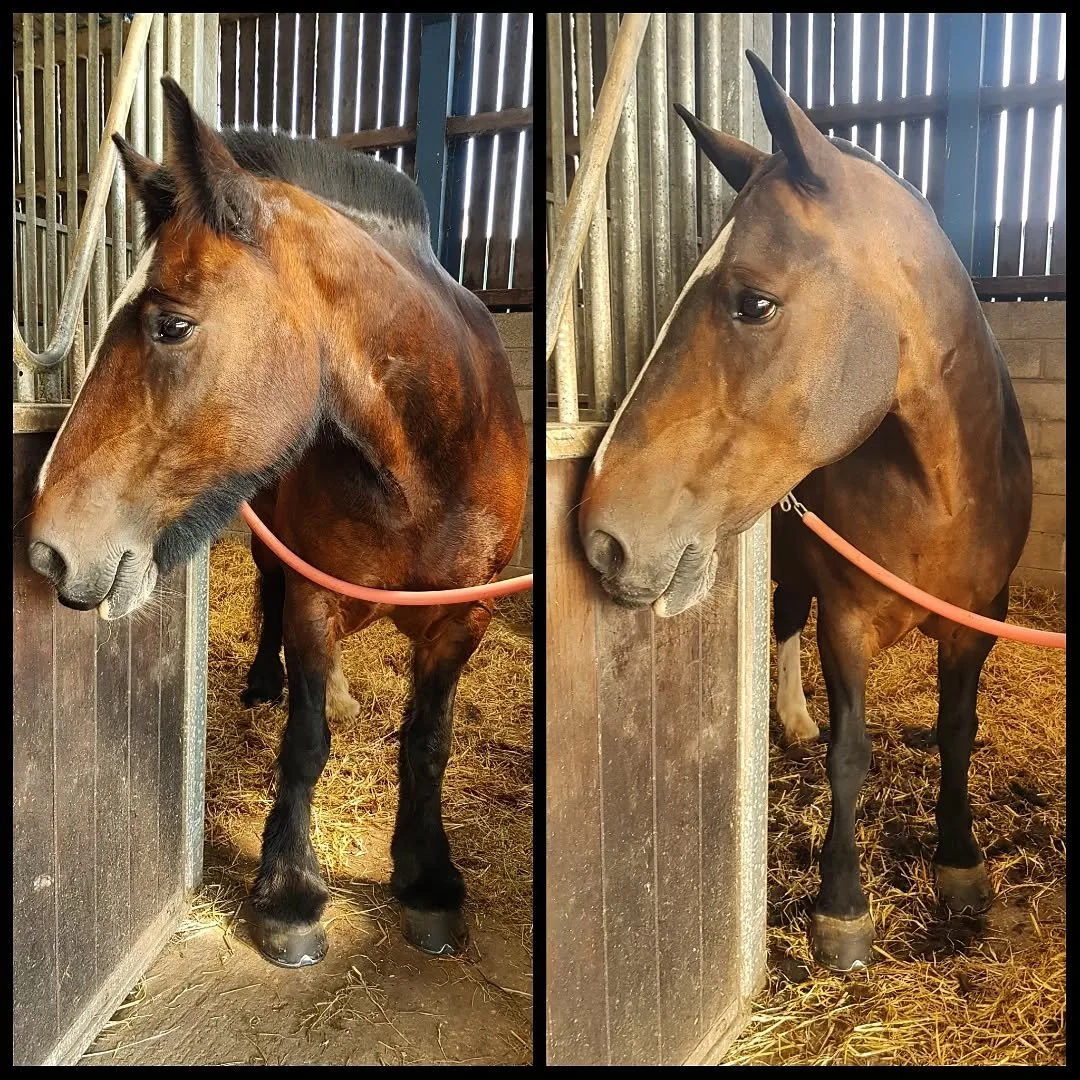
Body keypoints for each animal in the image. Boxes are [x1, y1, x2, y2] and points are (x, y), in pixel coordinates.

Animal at [28, 77, 529, 968]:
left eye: (171, 324)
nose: (51, 549)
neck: (429, 462)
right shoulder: (313, 600)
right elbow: (306, 740)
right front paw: (291, 895)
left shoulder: (464, 618)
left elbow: (428, 743)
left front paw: (428, 880)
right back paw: (267, 680)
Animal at [577, 51, 1032, 972]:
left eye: (753, 302)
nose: (602, 536)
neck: (941, 491)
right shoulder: (847, 617)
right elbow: (849, 755)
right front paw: (842, 909)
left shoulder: (981, 618)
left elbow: (957, 729)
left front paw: (960, 863)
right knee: (786, 618)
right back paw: (788, 718)